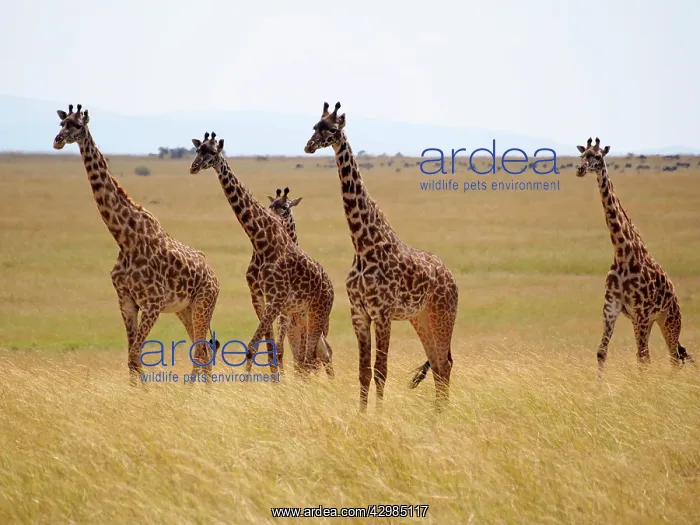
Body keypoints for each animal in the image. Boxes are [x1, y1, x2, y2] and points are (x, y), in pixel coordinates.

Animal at [52, 104, 220, 384]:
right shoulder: (126, 301)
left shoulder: (152, 304)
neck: (125, 239)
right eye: (62, 123)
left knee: (203, 351)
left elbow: (135, 356)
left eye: (77, 125)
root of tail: (214, 275)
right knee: (202, 350)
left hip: (203, 303)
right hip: (184, 309)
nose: (57, 141)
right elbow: (132, 360)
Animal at [267, 187, 334, 377]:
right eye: (270, 205)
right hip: (296, 331)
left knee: (321, 355)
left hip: (315, 328)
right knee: (306, 359)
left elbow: (305, 361)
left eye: (286, 207)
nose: (273, 219)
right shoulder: (284, 320)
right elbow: (280, 350)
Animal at [303, 102, 459, 411]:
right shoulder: (359, 313)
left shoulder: (383, 313)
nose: (309, 146)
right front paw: (363, 415)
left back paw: (442, 414)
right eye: (314, 126)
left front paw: (378, 415)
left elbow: (381, 370)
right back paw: (437, 415)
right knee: (438, 363)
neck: (363, 245)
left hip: (442, 314)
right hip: (420, 318)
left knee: (445, 364)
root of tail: (453, 280)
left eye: (333, 129)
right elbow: (363, 371)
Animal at [576, 137, 693, 372]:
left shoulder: (641, 312)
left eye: (598, 156)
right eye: (582, 155)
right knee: (670, 357)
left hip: (669, 320)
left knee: (673, 358)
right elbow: (601, 352)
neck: (622, 252)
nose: (580, 169)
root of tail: (675, 297)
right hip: (648, 321)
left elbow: (642, 358)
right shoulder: (611, 308)